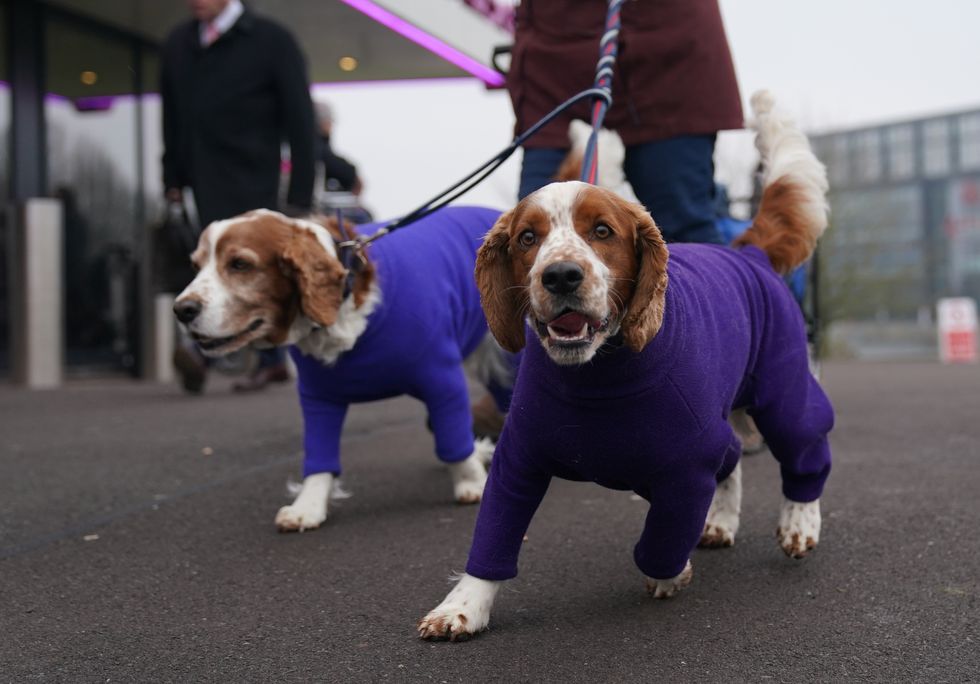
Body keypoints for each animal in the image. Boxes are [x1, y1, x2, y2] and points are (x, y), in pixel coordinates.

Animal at [418, 92, 832, 640]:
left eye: (602, 231)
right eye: (528, 238)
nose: (561, 275)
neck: (598, 373)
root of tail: (749, 253)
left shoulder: (686, 467)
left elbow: (661, 541)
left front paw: (671, 574)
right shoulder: (517, 462)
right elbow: (493, 537)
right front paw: (463, 606)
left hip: (781, 392)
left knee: (804, 448)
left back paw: (799, 524)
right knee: (733, 461)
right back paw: (721, 523)